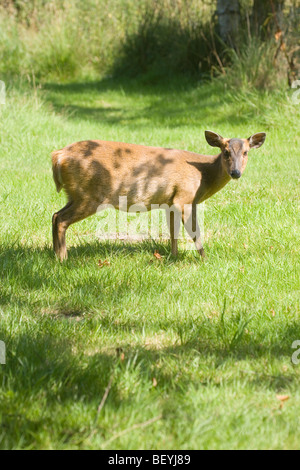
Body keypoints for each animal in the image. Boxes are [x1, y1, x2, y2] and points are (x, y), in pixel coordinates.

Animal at [51, 131, 264, 260]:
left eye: (245, 152)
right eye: (225, 151)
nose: (235, 172)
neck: (203, 174)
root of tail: (58, 156)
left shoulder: (170, 202)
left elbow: (173, 232)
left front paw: (174, 256)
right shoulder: (184, 197)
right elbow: (194, 232)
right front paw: (205, 259)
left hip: (75, 194)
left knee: (54, 215)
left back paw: (55, 255)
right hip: (90, 195)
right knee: (61, 219)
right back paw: (63, 258)